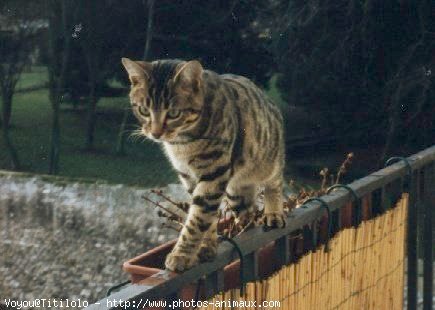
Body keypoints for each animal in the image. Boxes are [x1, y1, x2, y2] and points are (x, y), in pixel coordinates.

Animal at [122, 58, 286, 272]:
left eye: (173, 113)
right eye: (143, 110)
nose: (156, 133)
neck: (182, 145)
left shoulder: (213, 174)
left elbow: (197, 219)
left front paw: (181, 255)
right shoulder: (190, 177)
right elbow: (207, 218)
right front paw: (206, 246)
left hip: (268, 160)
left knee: (275, 182)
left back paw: (273, 212)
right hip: (236, 190)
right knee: (246, 212)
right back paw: (245, 226)